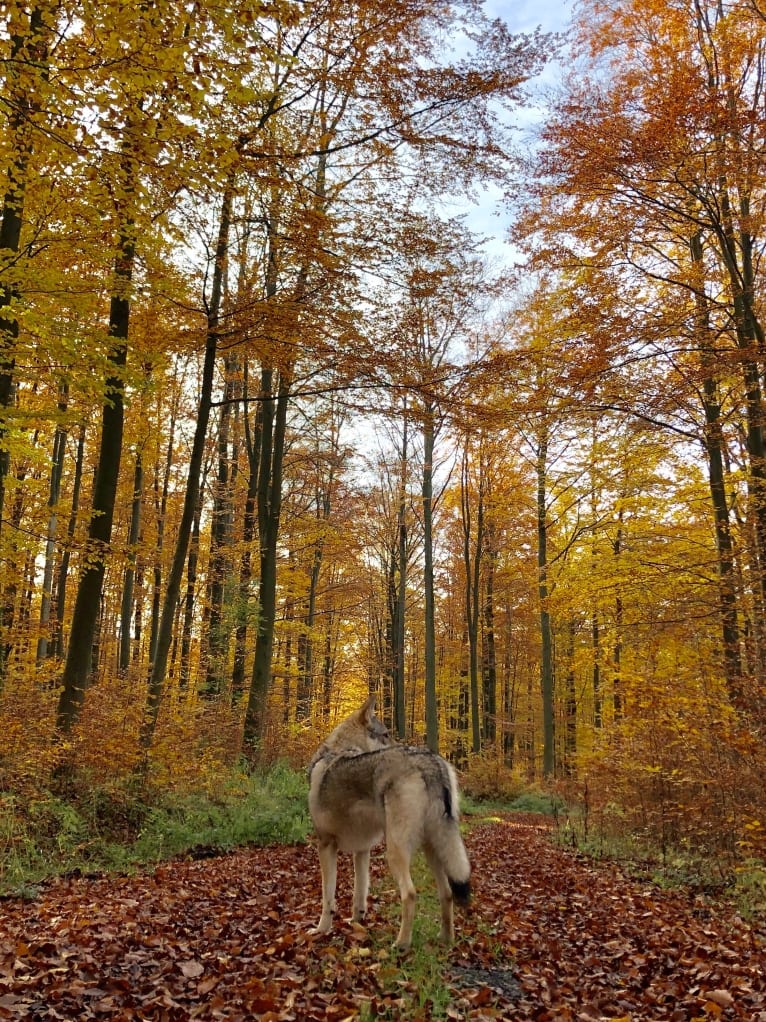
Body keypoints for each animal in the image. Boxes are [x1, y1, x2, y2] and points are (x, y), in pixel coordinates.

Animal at [308, 694, 471, 948]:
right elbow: (359, 893)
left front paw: (321, 930)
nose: (396, 742)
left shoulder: (325, 845)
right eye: (385, 734)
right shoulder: (362, 850)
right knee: (447, 893)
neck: (339, 750)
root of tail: (431, 761)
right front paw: (356, 923)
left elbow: (328, 897)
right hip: (432, 849)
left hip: (394, 852)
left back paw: (401, 944)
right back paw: (445, 939)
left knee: (410, 894)